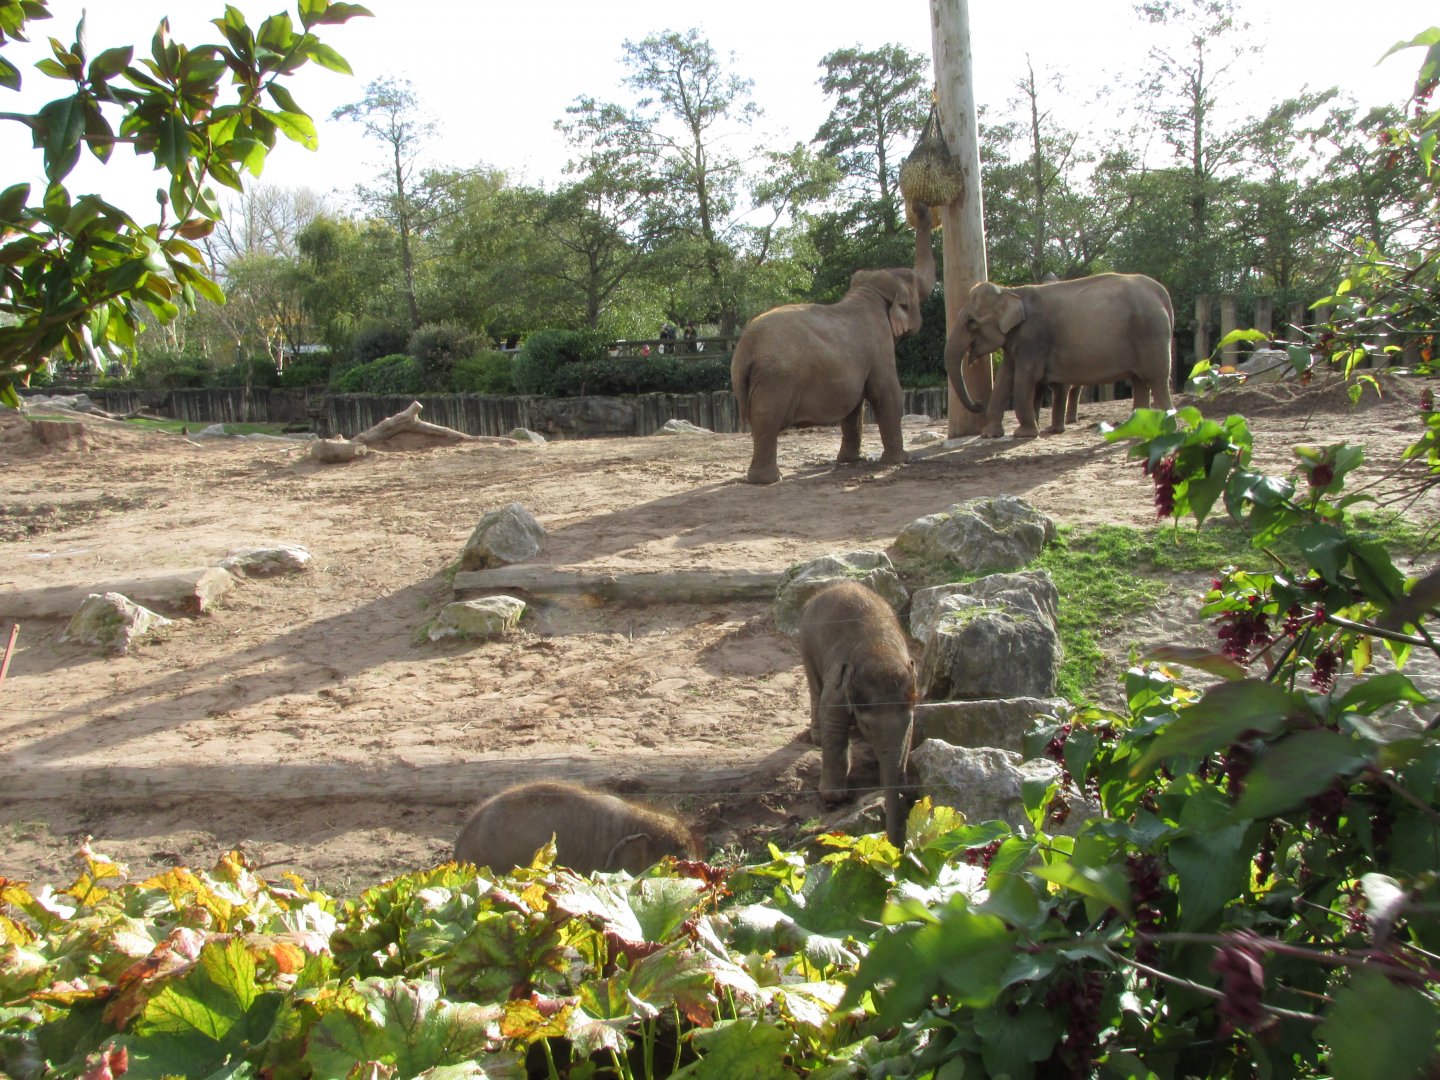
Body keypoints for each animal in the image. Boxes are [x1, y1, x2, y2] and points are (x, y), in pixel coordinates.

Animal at [731, 199, 935, 484]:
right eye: (915, 287)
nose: (920, 205)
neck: (867, 293)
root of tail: (744, 349)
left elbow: (855, 407)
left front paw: (850, 461)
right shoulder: (879, 345)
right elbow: (887, 392)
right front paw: (901, 461)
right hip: (775, 380)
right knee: (766, 419)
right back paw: (769, 480)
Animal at [797, 580, 918, 848]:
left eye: (907, 721)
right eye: (868, 725)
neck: (879, 649)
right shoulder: (838, 683)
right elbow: (833, 721)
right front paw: (833, 796)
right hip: (806, 644)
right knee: (814, 685)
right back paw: (816, 738)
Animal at [946, 272, 1175, 439]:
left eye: (971, 322)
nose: (978, 403)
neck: (1011, 292)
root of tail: (1159, 291)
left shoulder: (1034, 336)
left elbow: (1024, 378)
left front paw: (1024, 435)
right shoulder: (1016, 341)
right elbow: (1005, 378)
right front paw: (989, 435)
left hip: (1150, 332)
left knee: (1157, 379)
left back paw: (1166, 429)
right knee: (1140, 382)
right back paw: (1138, 431)